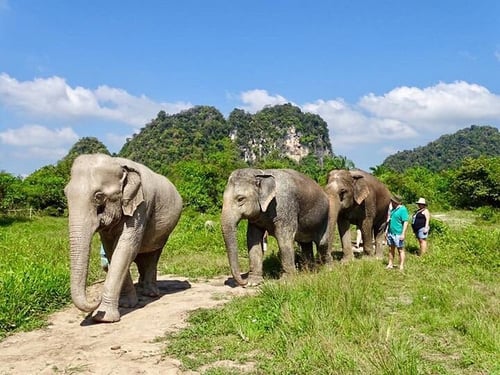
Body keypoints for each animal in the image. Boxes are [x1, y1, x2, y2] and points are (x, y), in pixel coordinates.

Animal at [63, 153, 183, 324]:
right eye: (65, 193)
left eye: (99, 196)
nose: (95, 298)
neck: (118, 163)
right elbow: (111, 250)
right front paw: (126, 304)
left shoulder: (141, 206)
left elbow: (125, 248)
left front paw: (103, 317)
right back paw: (141, 288)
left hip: (165, 232)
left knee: (153, 254)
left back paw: (151, 293)